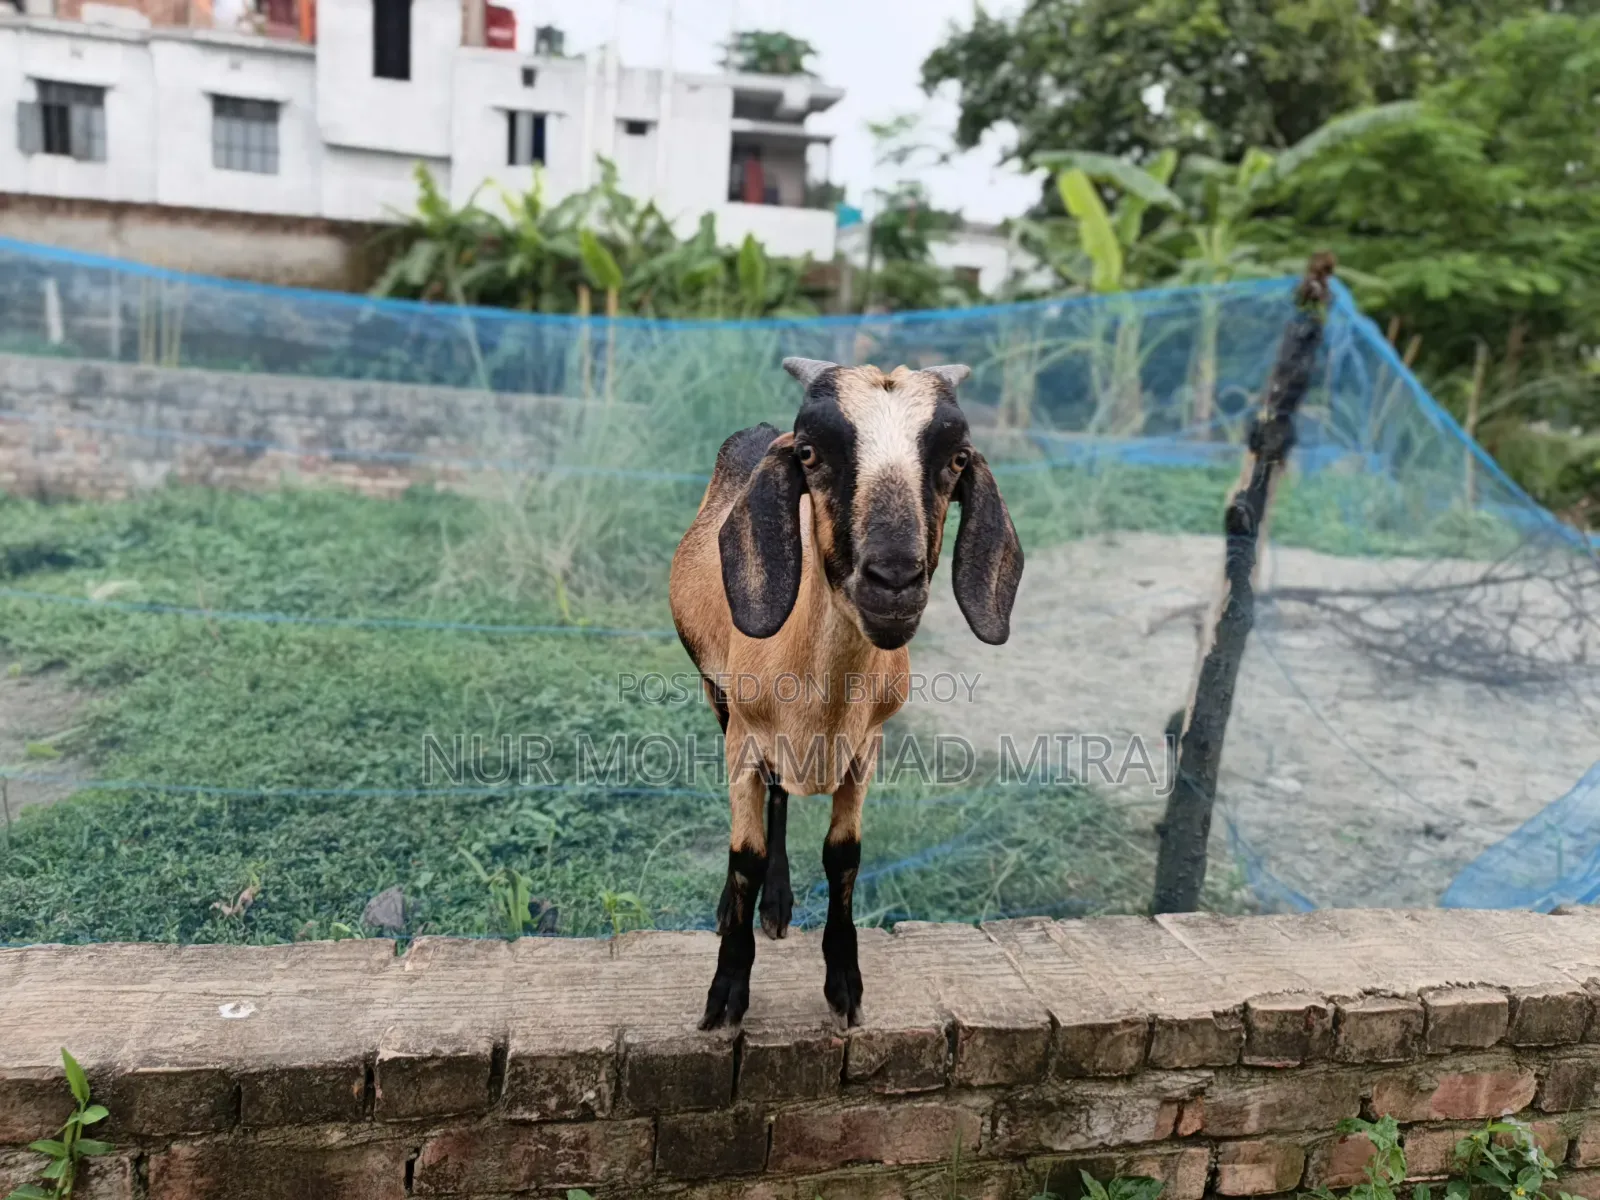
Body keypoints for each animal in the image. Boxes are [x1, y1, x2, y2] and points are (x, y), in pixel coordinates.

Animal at [669, 357, 1024, 1029]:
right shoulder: (743, 738)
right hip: (715, 695)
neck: (822, 704)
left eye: (957, 458)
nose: (894, 580)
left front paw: (845, 986)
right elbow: (745, 854)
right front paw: (726, 994)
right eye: (810, 452)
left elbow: (844, 854)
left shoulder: (868, 746)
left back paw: (778, 906)